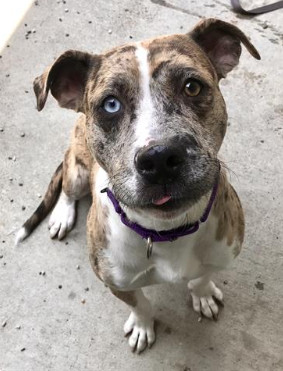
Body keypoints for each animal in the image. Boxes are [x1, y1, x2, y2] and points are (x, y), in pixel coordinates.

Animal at [16, 18, 262, 354]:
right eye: (110, 104)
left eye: (192, 86)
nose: (159, 158)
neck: (167, 231)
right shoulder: (116, 282)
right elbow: (140, 304)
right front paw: (143, 326)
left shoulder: (221, 253)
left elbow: (201, 276)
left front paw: (202, 294)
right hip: (77, 169)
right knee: (67, 188)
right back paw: (62, 216)